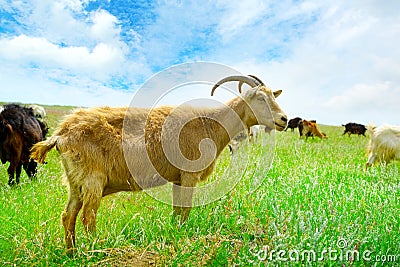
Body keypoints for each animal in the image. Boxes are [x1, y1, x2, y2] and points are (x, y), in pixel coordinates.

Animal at [31, 75, 288, 251]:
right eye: (261, 98)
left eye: (273, 96)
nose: (284, 119)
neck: (210, 124)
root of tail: (61, 134)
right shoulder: (189, 174)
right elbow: (185, 210)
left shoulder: (178, 178)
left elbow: (177, 210)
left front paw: (174, 234)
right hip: (93, 178)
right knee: (88, 216)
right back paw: (98, 249)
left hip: (75, 181)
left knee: (68, 215)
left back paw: (72, 253)